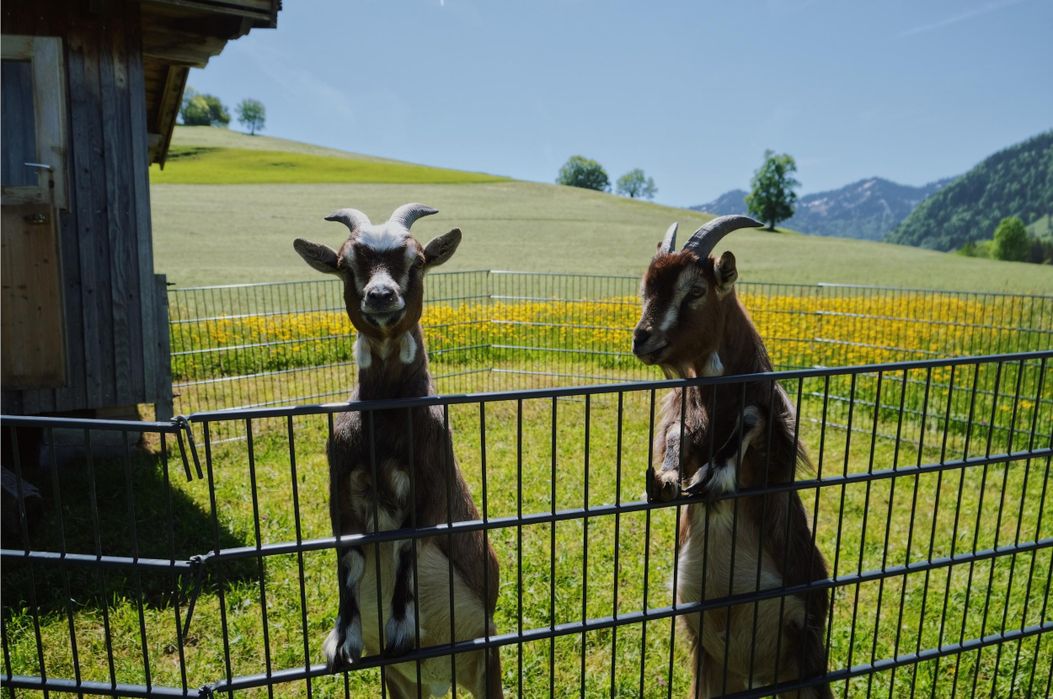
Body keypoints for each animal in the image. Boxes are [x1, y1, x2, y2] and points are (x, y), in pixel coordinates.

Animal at [294, 203, 503, 698]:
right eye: (344, 264)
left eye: (418, 260)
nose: (381, 295)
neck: (386, 423)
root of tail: (440, 676)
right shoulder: (340, 483)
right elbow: (350, 556)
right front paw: (342, 641)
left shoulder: (429, 477)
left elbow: (406, 544)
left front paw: (403, 629)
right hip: (402, 682)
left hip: (487, 657)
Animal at [632, 216, 831, 698]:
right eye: (646, 287)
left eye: (695, 291)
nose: (641, 338)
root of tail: (758, 673)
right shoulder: (686, 417)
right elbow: (676, 438)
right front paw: (664, 482)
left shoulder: (776, 446)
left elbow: (753, 418)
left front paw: (713, 476)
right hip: (713, 667)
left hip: (808, 652)